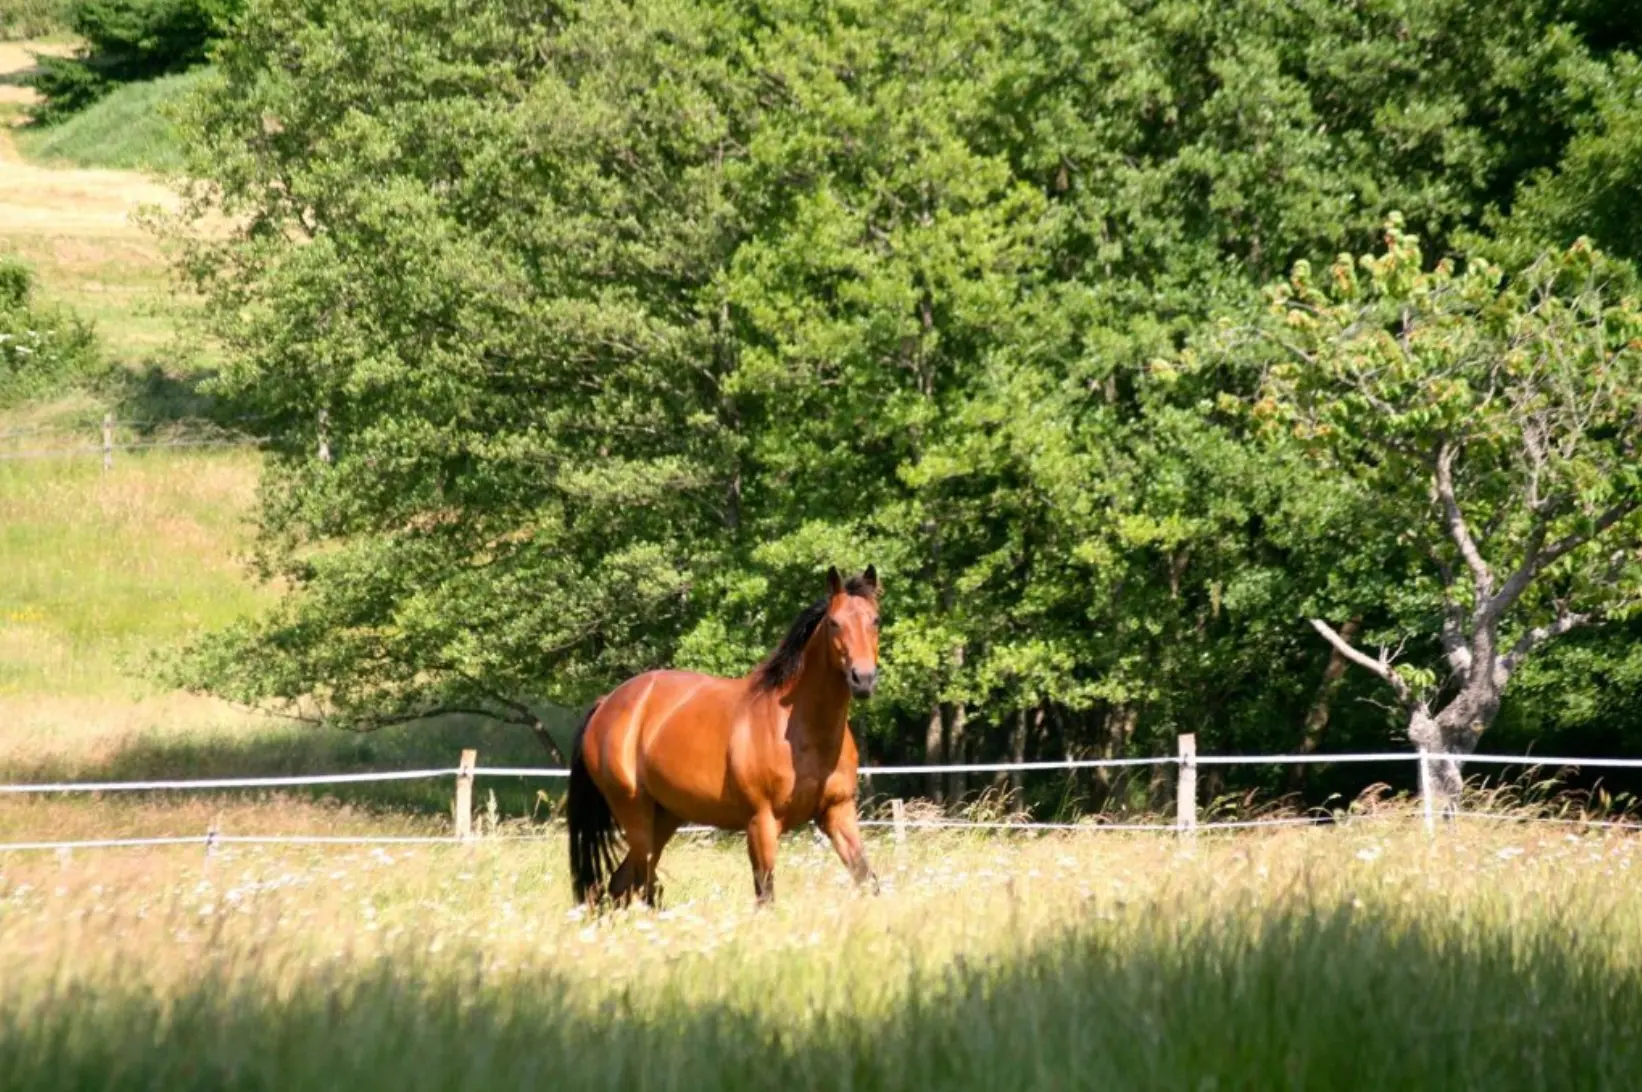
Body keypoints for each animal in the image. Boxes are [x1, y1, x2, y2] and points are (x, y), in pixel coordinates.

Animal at [567, 565, 882, 907]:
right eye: (835, 623)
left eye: (875, 620)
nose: (863, 679)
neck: (801, 731)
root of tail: (607, 703)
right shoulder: (761, 822)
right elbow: (765, 895)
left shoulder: (838, 812)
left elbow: (868, 880)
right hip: (635, 814)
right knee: (640, 884)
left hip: (664, 816)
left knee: (623, 883)